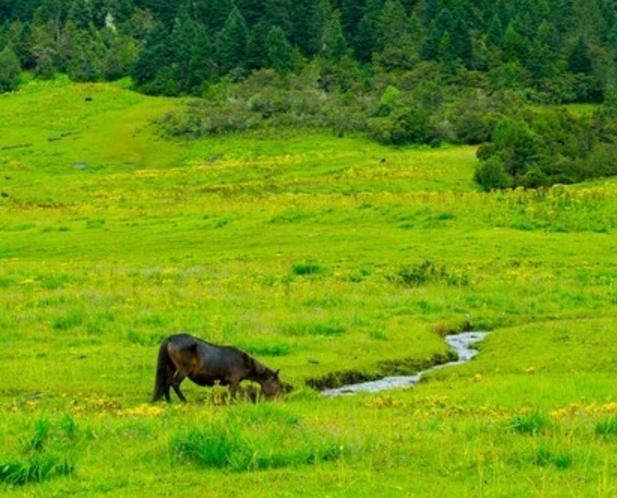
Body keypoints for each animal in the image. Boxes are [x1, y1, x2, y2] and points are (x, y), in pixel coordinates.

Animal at [153, 332, 282, 402]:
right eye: (277, 385)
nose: (278, 400)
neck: (244, 362)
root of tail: (170, 338)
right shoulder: (234, 381)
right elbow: (232, 396)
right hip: (183, 369)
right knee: (174, 383)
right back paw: (184, 401)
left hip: (170, 367)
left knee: (166, 383)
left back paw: (169, 402)